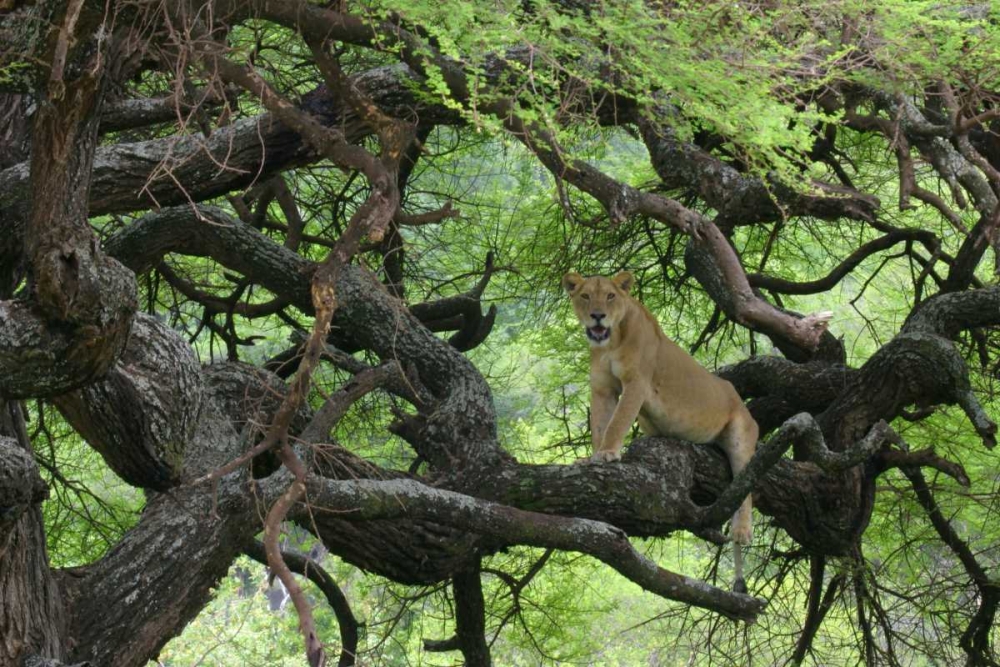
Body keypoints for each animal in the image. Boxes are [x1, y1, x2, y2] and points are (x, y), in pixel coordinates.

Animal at [562, 270, 758, 592]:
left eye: (611, 296)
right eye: (585, 296)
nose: (597, 316)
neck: (610, 342)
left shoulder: (637, 383)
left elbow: (617, 423)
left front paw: (607, 454)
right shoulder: (602, 389)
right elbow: (600, 426)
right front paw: (591, 457)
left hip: (742, 434)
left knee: (747, 487)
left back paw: (742, 531)